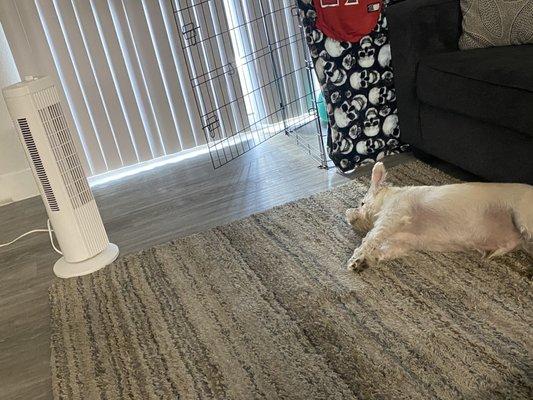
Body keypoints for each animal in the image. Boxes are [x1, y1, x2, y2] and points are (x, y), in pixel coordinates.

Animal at [344, 161, 532, 270]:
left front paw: (356, 258)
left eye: (362, 203)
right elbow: (385, 250)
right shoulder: (402, 242)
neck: (387, 199)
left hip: (523, 219)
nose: (347, 215)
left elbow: (370, 238)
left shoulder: (392, 216)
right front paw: (365, 261)